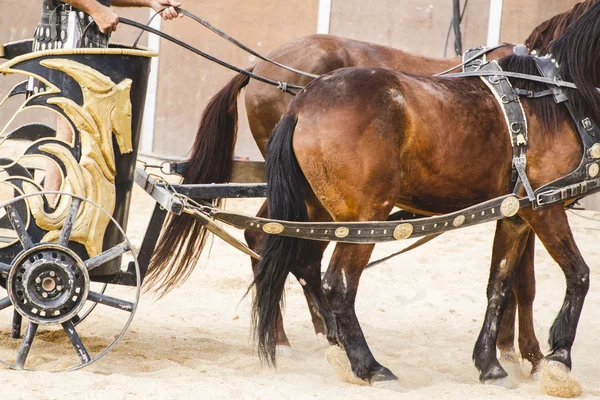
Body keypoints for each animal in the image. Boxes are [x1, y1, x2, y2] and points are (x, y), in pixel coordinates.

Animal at [144, 0, 596, 370]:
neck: (547, 95)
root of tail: (299, 96)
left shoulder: (518, 209)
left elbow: (506, 283)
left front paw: (502, 357)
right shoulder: (544, 204)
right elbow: (561, 277)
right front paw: (545, 356)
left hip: (313, 203)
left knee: (280, 247)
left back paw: (310, 337)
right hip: (359, 213)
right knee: (326, 273)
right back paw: (359, 359)